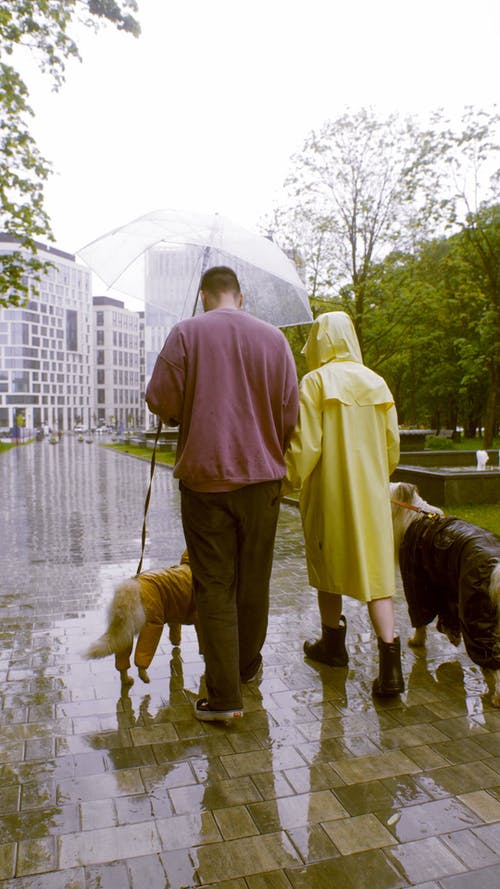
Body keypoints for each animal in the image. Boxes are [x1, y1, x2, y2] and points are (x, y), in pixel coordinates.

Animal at [85, 548, 200, 688]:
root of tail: (132, 585)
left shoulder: (175, 613)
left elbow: (175, 630)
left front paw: (176, 644)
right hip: (152, 622)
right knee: (143, 650)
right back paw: (143, 674)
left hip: (126, 627)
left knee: (123, 656)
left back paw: (126, 679)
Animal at [390, 482, 500, 704]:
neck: (412, 517)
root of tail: (495, 564)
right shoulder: (446, 582)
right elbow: (447, 614)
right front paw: (451, 634)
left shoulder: (417, 579)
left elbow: (421, 617)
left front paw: (416, 640)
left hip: (475, 613)